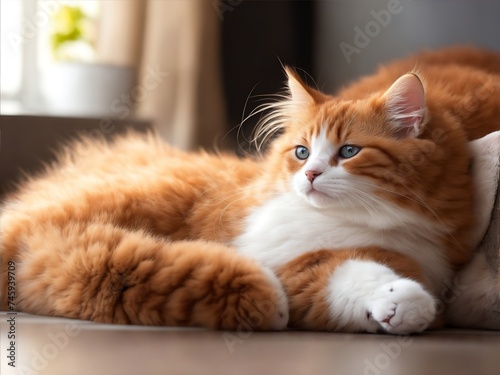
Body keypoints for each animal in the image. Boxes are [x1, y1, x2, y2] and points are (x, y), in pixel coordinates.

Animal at [2, 45, 500, 334]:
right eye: (301, 152)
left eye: (349, 151)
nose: (310, 175)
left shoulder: (310, 272)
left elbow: (356, 278)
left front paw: (402, 307)